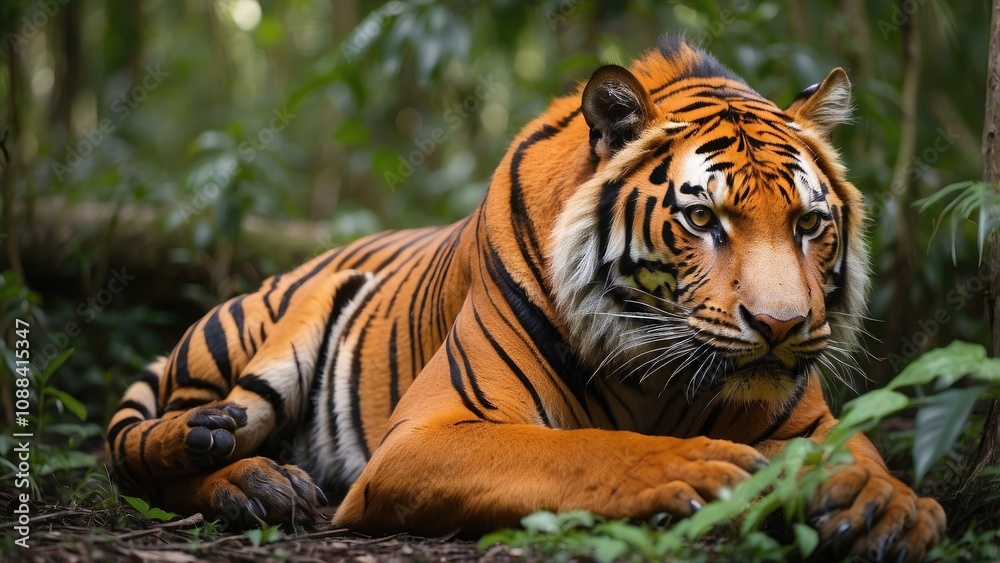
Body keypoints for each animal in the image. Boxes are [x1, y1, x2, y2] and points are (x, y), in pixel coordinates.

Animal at [106, 36, 945, 561]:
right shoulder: (431, 429)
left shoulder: (810, 420)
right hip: (265, 352)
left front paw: (887, 504)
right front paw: (696, 463)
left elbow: (865, 451)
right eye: (703, 219)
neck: (661, 378)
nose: (781, 326)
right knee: (147, 452)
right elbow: (585, 448)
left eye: (808, 224)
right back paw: (242, 470)